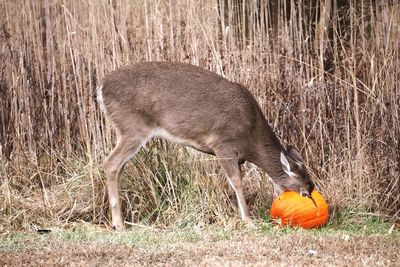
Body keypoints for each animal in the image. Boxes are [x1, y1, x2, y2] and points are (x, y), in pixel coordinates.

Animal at [97, 61, 316, 231]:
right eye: (304, 193)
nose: (314, 203)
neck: (252, 138)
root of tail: (100, 87)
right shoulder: (222, 143)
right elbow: (236, 181)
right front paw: (248, 219)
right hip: (133, 126)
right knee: (110, 163)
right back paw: (119, 224)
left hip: (126, 129)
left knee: (118, 166)